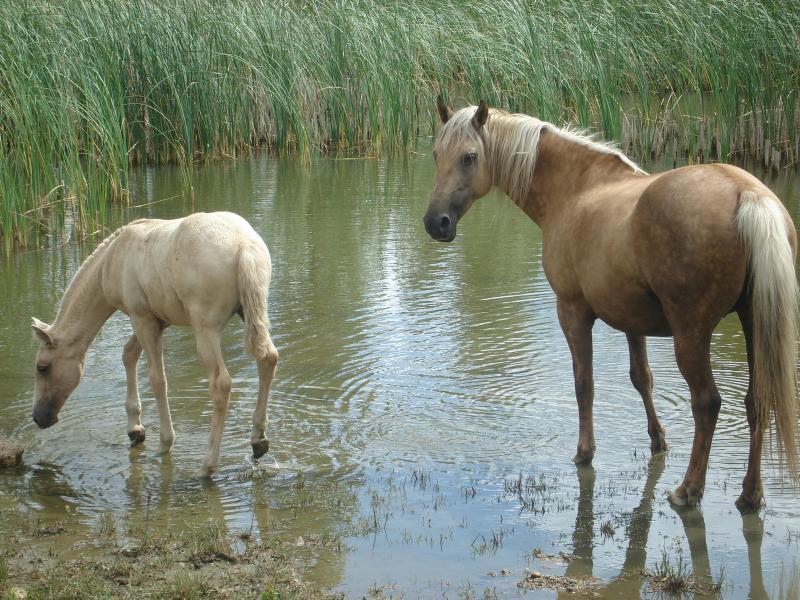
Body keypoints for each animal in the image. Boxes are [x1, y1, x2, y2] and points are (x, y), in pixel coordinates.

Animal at [30, 212, 278, 478]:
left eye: (42, 367)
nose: (39, 418)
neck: (111, 260)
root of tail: (245, 246)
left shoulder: (142, 319)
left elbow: (157, 379)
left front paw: (164, 442)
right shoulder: (157, 320)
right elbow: (128, 354)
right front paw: (135, 429)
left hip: (206, 328)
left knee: (221, 383)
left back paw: (207, 465)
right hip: (250, 312)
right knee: (269, 358)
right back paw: (259, 441)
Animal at [422, 96, 796, 508]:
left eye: (469, 157)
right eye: (437, 153)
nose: (436, 223)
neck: (575, 189)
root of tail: (746, 193)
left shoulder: (572, 310)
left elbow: (583, 383)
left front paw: (584, 452)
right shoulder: (633, 320)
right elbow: (642, 379)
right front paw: (658, 440)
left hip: (692, 334)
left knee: (707, 403)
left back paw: (688, 489)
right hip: (754, 322)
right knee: (757, 402)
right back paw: (750, 494)